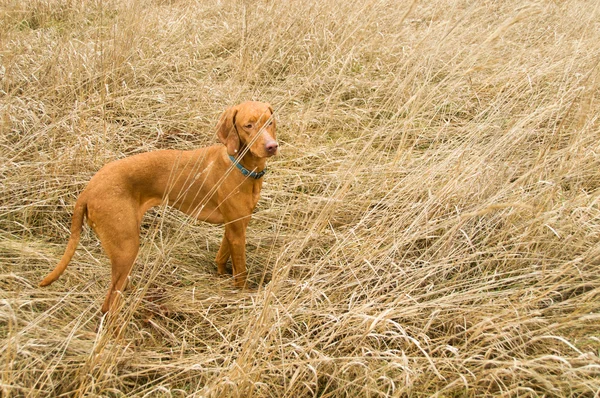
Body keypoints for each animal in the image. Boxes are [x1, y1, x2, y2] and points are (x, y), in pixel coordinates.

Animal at [38, 101, 278, 312]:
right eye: (248, 125)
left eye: (270, 122)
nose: (272, 146)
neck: (240, 166)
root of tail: (88, 189)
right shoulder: (237, 231)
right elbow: (241, 272)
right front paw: (244, 296)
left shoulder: (236, 225)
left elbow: (222, 256)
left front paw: (221, 276)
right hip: (127, 247)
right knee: (108, 305)